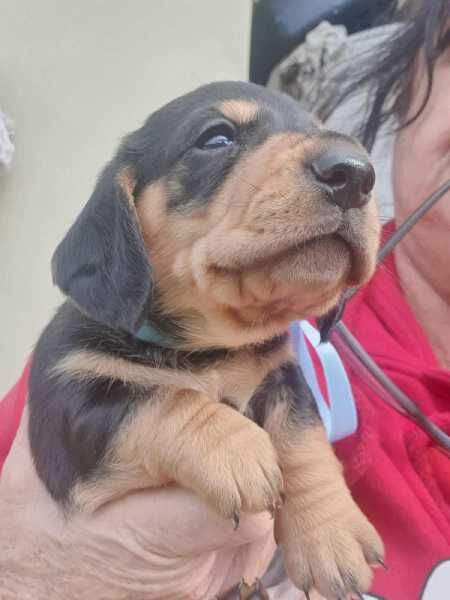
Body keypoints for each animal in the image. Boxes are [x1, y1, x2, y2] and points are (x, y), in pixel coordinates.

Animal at [27, 81, 380, 600]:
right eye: (216, 138)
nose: (354, 173)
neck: (212, 349)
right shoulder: (68, 405)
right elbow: (159, 398)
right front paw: (237, 450)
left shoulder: (282, 377)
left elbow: (303, 438)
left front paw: (330, 532)